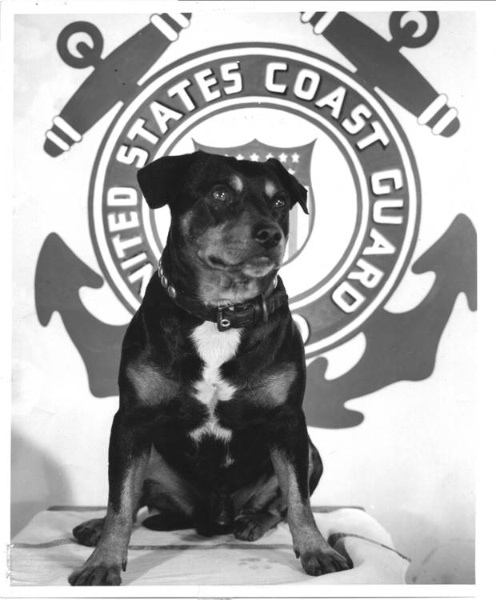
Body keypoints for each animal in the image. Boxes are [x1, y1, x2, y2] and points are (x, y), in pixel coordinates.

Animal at [69, 150, 348, 584]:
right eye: (219, 193)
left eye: (280, 201)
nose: (271, 234)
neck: (221, 313)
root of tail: (213, 518)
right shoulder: (132, 421)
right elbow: (120, 500)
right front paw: (103, 561)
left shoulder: (288, 423)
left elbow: (299, 499)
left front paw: (317, 550)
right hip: (151, 450)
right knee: (136, 497)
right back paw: (97, 527)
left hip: (312, 453)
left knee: (279, 504)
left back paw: (252, 521)